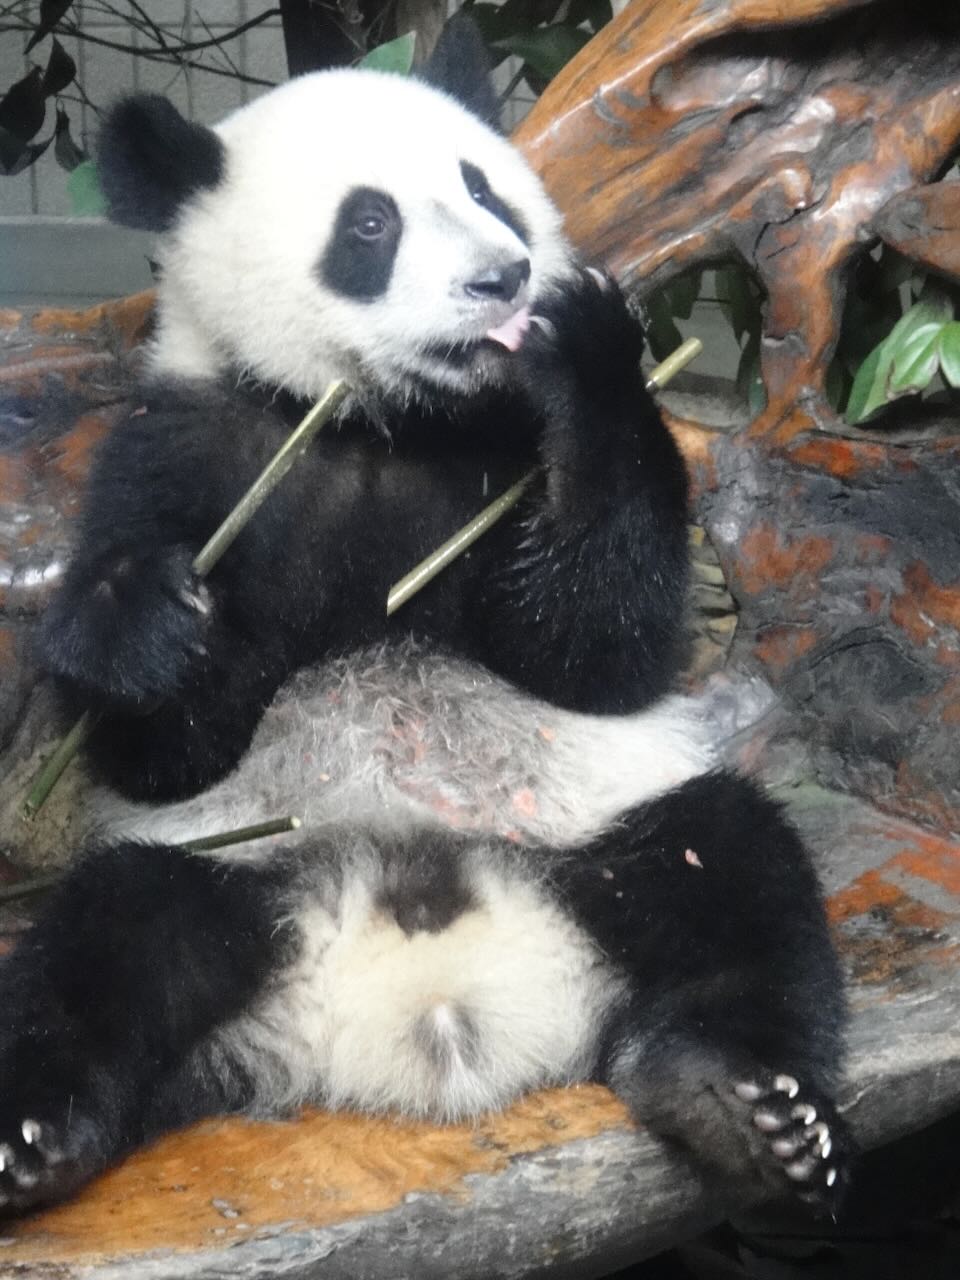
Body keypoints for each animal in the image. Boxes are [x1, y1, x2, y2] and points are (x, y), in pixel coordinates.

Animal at [0, 19, 849, 1217]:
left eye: (485, 187)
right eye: (370, 223)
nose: (504, 276)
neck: (381, 423)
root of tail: (430, 1013)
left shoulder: (504, 449)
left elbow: (597, 650)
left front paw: (586, 338)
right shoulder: (182, 450)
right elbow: (164, 750)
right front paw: (145, 615)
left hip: (599, 833)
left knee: (734, 875)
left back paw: (744, 1106)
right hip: (231, 875)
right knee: (106, 938)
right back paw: (35, 1137)